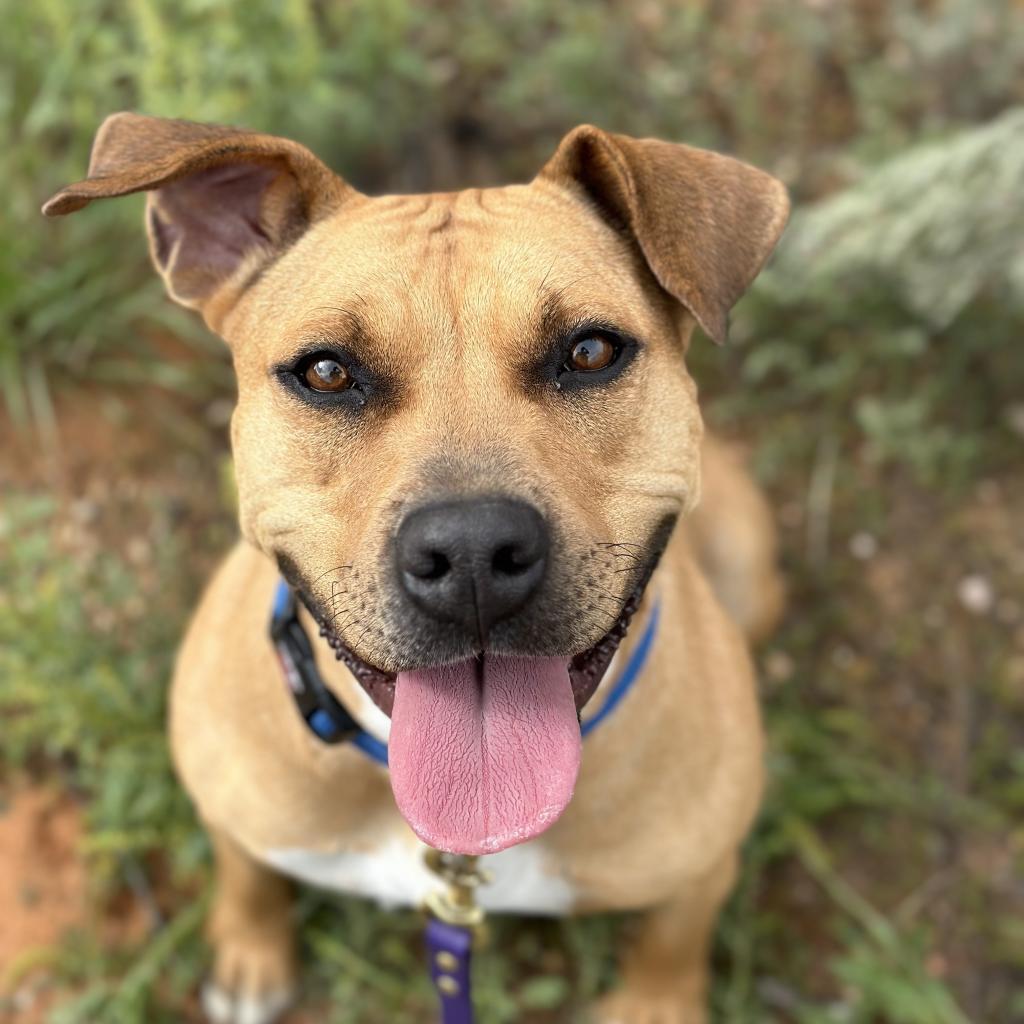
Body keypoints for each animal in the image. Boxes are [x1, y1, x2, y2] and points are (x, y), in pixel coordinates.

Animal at [44, 114, 786, 1024]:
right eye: (326, 371)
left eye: (591, 351)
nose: (471, 553)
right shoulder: (233, 802)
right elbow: (246, 875)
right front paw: (251, 955)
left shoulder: (700, 869)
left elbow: (672, 946)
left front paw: (653, 1005)